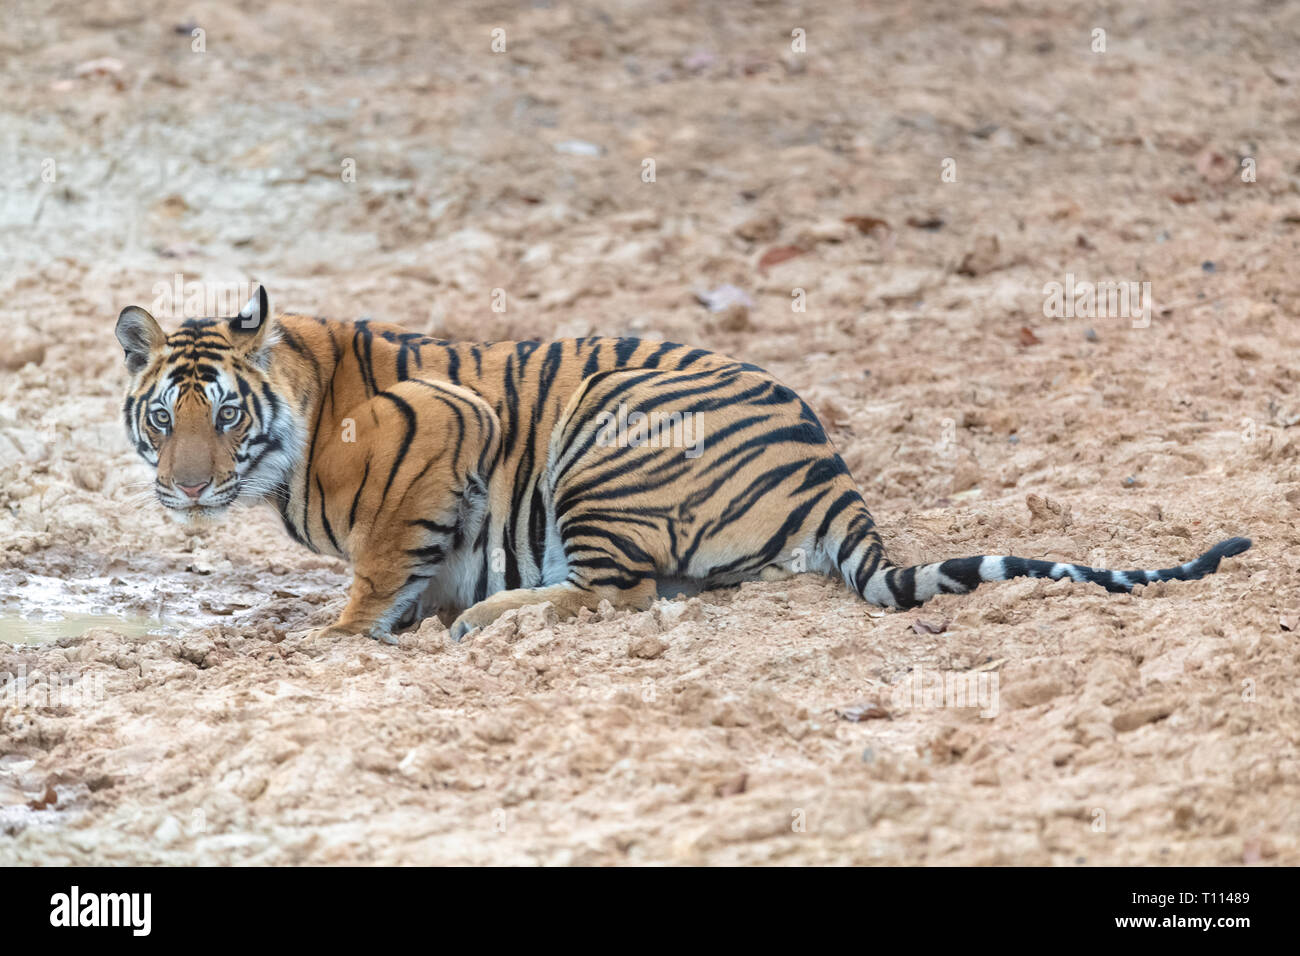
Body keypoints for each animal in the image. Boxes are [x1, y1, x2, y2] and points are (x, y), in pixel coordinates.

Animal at [114, 286, 1251, 643]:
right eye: (162, 419)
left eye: (223, 414)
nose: (187, 485)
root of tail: (830, 469)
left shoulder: (443, 424)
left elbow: (382, 564)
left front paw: (338, 635)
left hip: (602, 444)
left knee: (616, 594)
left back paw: (495, 619)